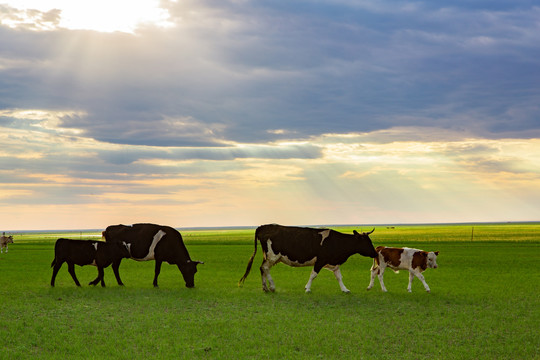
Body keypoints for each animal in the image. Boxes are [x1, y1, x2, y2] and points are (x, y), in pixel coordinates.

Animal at [238, 224, 378, 294]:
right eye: (366, 242)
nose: (375, 253)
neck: (336, 242)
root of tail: (262, 227)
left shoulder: (334, 263)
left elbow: (339, 277)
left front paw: (345, 289)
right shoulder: (320, 261)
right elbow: (313, 275)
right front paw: (308, 288)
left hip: (268, 257)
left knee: (262, 268)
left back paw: (265, 288)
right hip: (273, 256)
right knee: (265, 268)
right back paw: (271, 287)